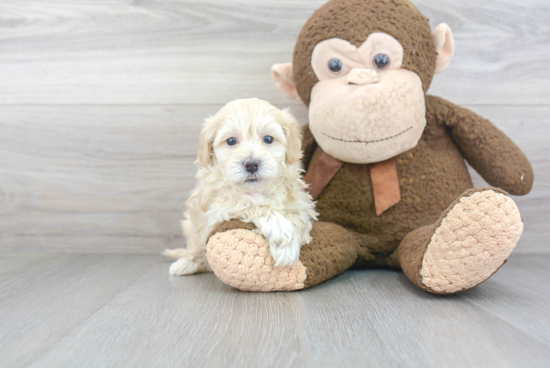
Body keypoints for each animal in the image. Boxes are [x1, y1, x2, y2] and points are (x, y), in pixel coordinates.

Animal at [166, 98, 316, 276]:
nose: (251, 164)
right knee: (197, 251)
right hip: (193, 229)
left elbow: (299, 218)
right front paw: (281, 231)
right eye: (231, 141)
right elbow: (254, 205)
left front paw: (287, 247)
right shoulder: (218, 208)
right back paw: (187, 264)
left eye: (268, 139)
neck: (257, 190)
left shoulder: (301, 203)